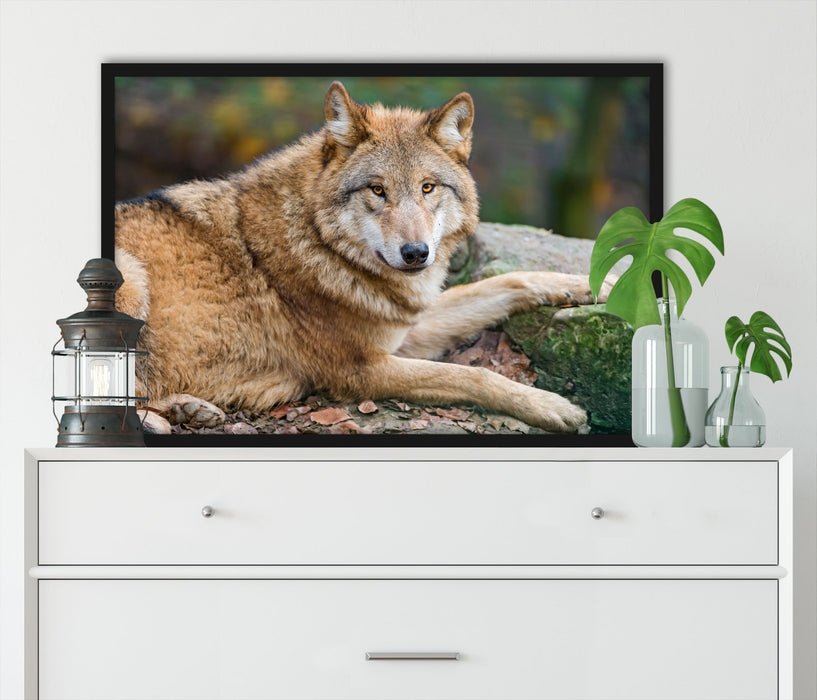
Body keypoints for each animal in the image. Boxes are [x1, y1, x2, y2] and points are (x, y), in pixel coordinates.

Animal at [116, 80, 604, 432]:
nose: (416, 254)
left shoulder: (405, 327)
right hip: (129, 278)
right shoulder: (361, 370)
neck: (320, 242)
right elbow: (471, 375)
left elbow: (509, 280)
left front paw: (593, 285)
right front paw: (551, 405)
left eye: (428, 187)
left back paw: (188, 410)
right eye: (378, 190)